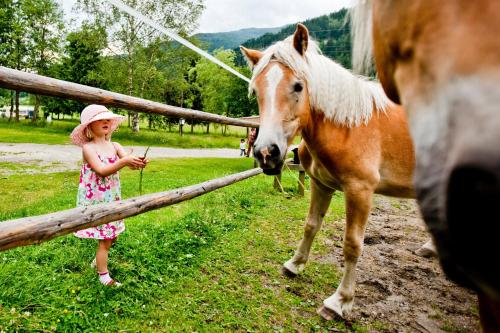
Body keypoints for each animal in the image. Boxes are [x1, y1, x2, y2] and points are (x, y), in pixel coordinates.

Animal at [241, 24, 430, 320]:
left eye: (298, 86)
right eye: (256, 90)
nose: (266, 153)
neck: (349, 127)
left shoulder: (360, 191)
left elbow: (352, 245)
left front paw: (340, 302)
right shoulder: (321, 184)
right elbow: (311, 225)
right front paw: (295, 264)